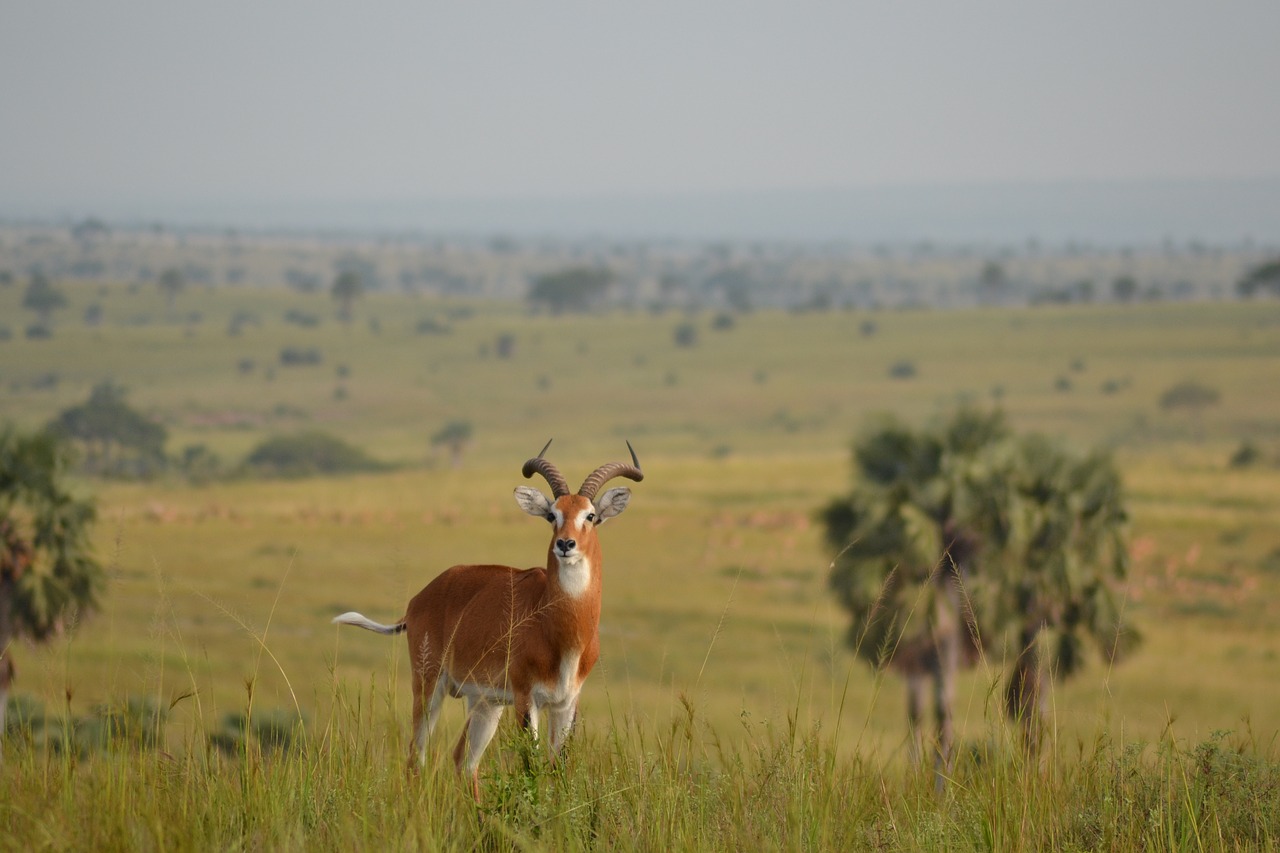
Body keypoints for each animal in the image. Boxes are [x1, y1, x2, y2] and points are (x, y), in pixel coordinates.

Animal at [335, 438, 645, 799]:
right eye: (552, 514)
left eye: (591, 515)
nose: (565, 544)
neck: (560, 630)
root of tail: (419, 598)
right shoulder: (527, 698)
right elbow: (530, 767)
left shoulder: (567, 703)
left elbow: (559, 770)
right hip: (430, 686)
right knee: (417, 755)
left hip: (486, 703)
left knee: (463, 760)